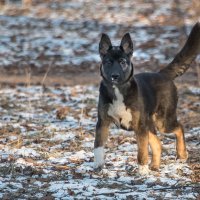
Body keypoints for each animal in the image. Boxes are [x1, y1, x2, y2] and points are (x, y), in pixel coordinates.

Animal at [94, 22, 200, 175]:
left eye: (122, 62)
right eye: (108, 62)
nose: (114, 76)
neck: (118, 90)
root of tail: (162, 74)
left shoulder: (139, 126)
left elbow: (142, 151)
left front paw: (142, 170)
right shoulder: (102, 123)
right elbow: (98, 146)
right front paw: (98, 165)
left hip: (162, 121)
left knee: (179, 127)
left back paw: (181, 155)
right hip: (149, 123)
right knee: (158, 143)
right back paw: (155, 166)